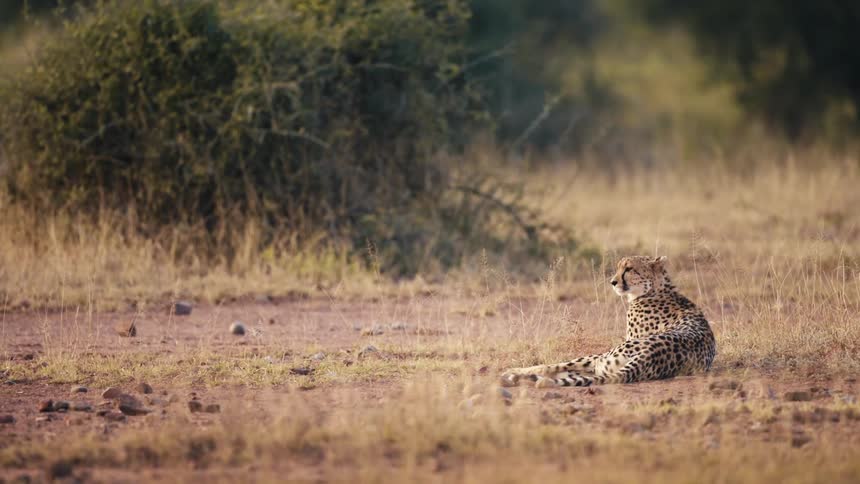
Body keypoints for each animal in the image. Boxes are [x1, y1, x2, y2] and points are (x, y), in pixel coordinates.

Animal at [501, 255, 716, 388]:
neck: (656, 289)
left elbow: (553, 365)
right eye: (619, 267)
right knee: (577, 375)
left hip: (604, 358)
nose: (613, 282)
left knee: (563, 369)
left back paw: (516, 375)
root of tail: (651, 353)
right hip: (606, 365)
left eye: (629, 269)